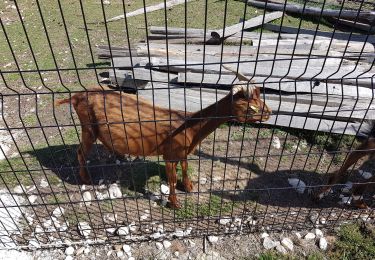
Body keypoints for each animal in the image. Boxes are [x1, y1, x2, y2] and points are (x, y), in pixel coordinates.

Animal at [55, 66, 272, 208]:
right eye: (251, 106)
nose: (269, 113)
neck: (189, 125)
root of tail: (76, 96)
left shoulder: (182, 153)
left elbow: (184, 168)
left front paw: (189, 187)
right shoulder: (169, 155)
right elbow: (172, 180)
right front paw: (174, 204)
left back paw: (117, 156)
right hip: (88, 128)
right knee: (81, 152)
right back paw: (86, 179)